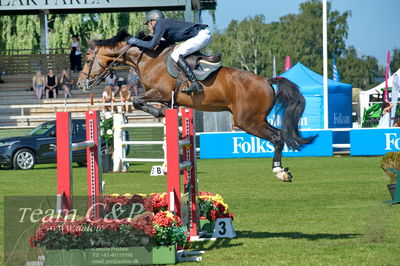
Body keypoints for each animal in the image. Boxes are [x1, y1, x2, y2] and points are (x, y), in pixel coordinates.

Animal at [77, 30, 316, 182]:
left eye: (87, 60)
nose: (80, 84)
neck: (148, 58)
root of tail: (267, 80)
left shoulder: (160, 93)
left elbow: (137, 101)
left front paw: (158, 113)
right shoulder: (167, 98)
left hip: (247, 121)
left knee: (276, 137)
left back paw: (279, 172)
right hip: (256, 119)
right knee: (280, 135)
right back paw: (282, 170)